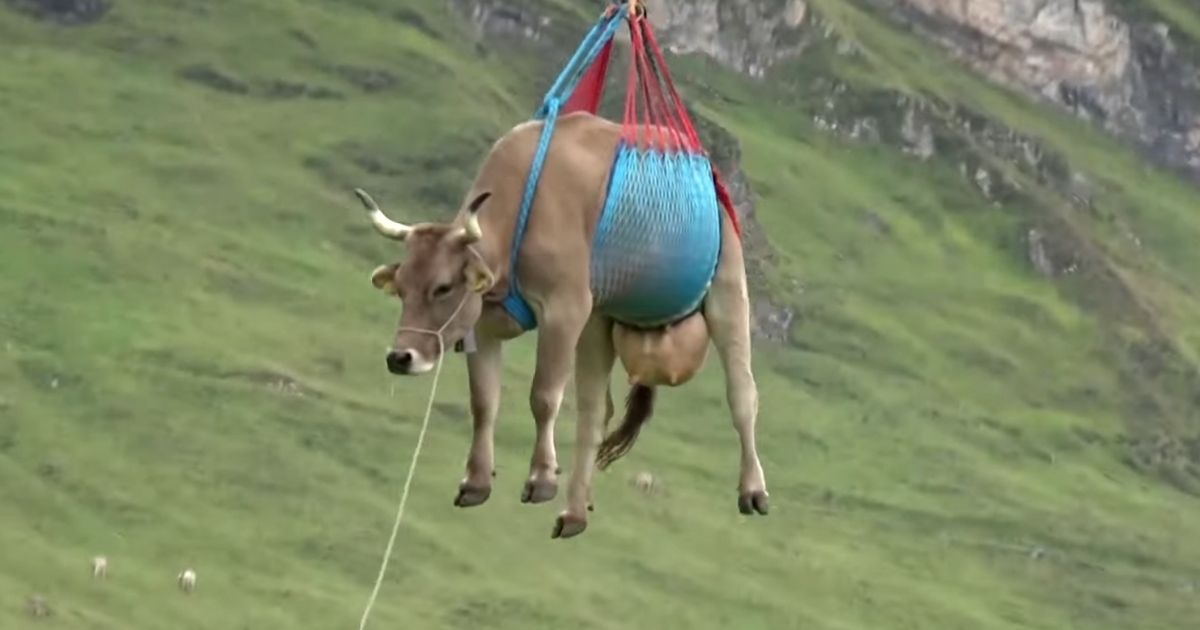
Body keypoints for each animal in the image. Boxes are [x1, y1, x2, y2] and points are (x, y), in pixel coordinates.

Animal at [355, 111, 768, 538]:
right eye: (402, 288)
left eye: (443, 287)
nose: (400, 357)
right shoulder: (484, 324)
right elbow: (484, 401)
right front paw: (477, 481)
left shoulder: (563, 310)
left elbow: (544, 395)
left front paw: (541, 478)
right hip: (599, 320)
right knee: (594, 411)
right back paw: (575, 511)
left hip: (726, 288)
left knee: (743, 395)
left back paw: (753, 490)